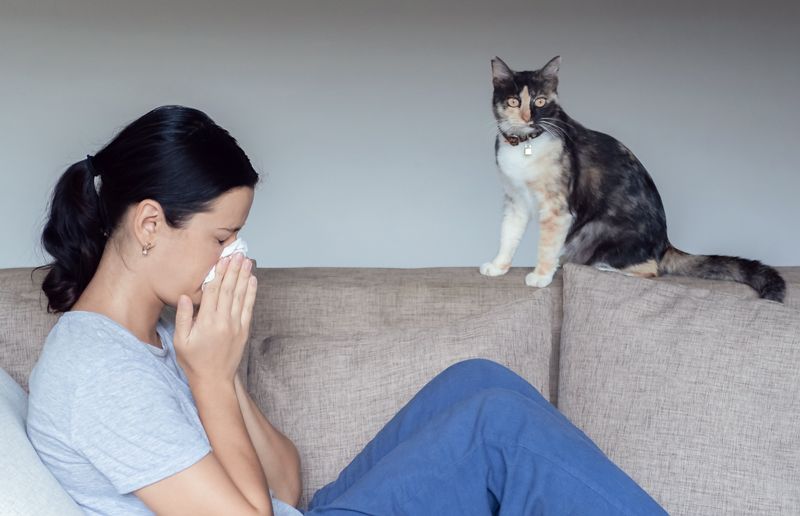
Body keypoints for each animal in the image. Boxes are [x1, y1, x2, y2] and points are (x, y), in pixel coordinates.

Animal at [478, 55, 784, 302]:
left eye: (540, 100)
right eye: (514, 101)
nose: (528, 117)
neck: (525, 145)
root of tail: (665, 243)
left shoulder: (557, 209)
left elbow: (546, 244)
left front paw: (541, 275)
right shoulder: (515, 200)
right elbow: (508, 235)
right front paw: (498, 266)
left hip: (596, 231)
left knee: (650, 271)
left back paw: (601, 269)